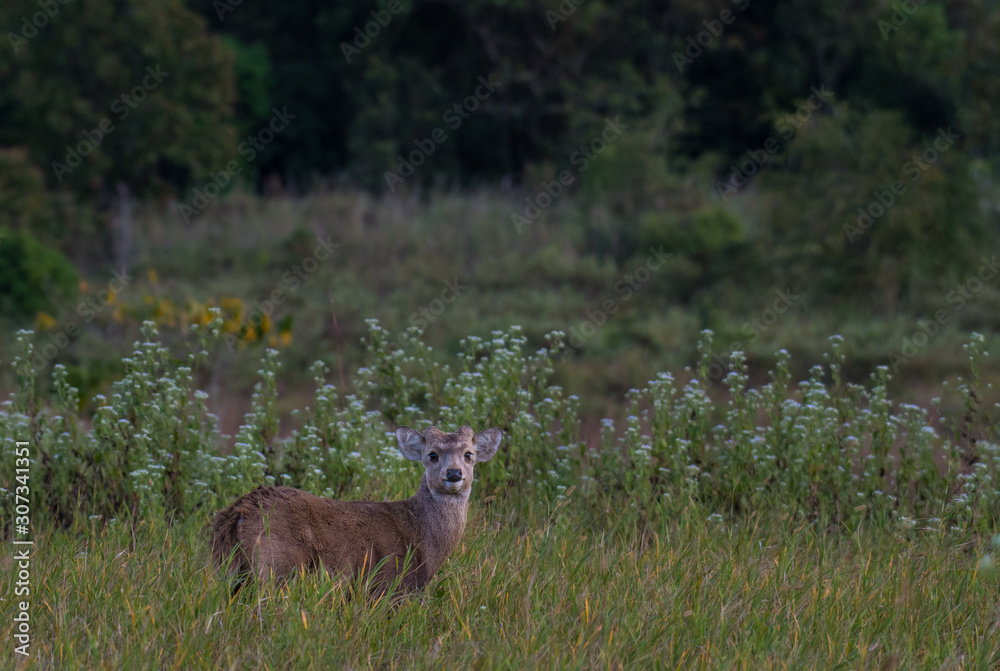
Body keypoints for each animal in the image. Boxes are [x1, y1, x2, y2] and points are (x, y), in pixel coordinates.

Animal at [210, 425, 502, 594]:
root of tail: (239, 512)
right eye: (432, 455)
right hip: (275, 565)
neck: (422, 538)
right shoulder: (390, 587)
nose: (454, 473)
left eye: (469, 454)